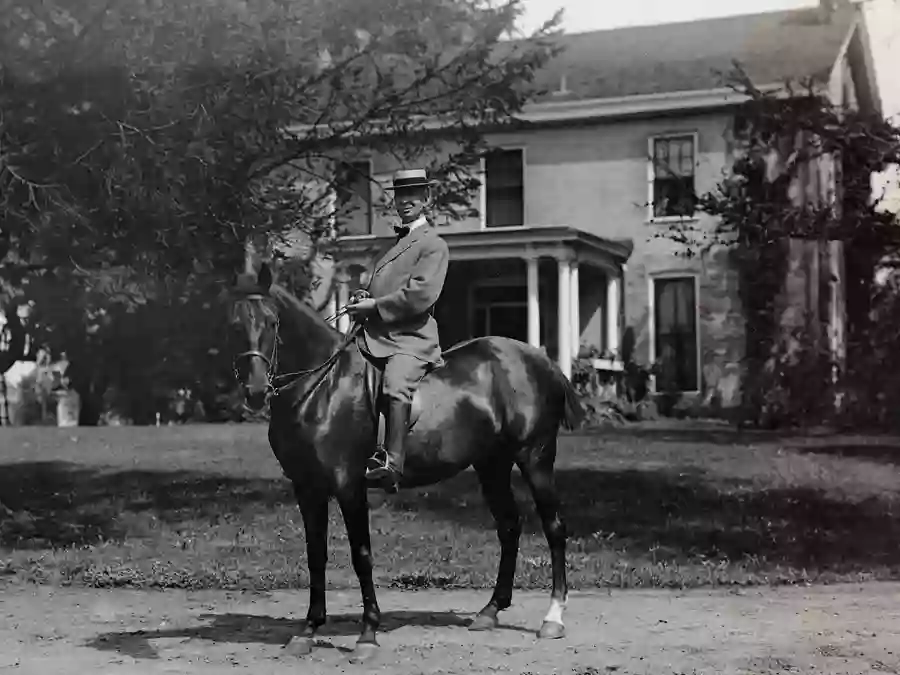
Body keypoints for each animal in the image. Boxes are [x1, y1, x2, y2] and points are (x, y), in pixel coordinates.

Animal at [232, 262, 584, 660]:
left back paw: (552, 618)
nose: (255, 391)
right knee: (509, 526)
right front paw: (308, 630)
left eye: (272, 322)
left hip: (535, 458)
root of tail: (538, 359)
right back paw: (491, 610)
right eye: (234, 324)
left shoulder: (348, 484)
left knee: (554, 527)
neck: (322, 386)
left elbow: (361, 554)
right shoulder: (307, 488)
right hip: (491, 465)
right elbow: (315, 555)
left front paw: (368, 634)